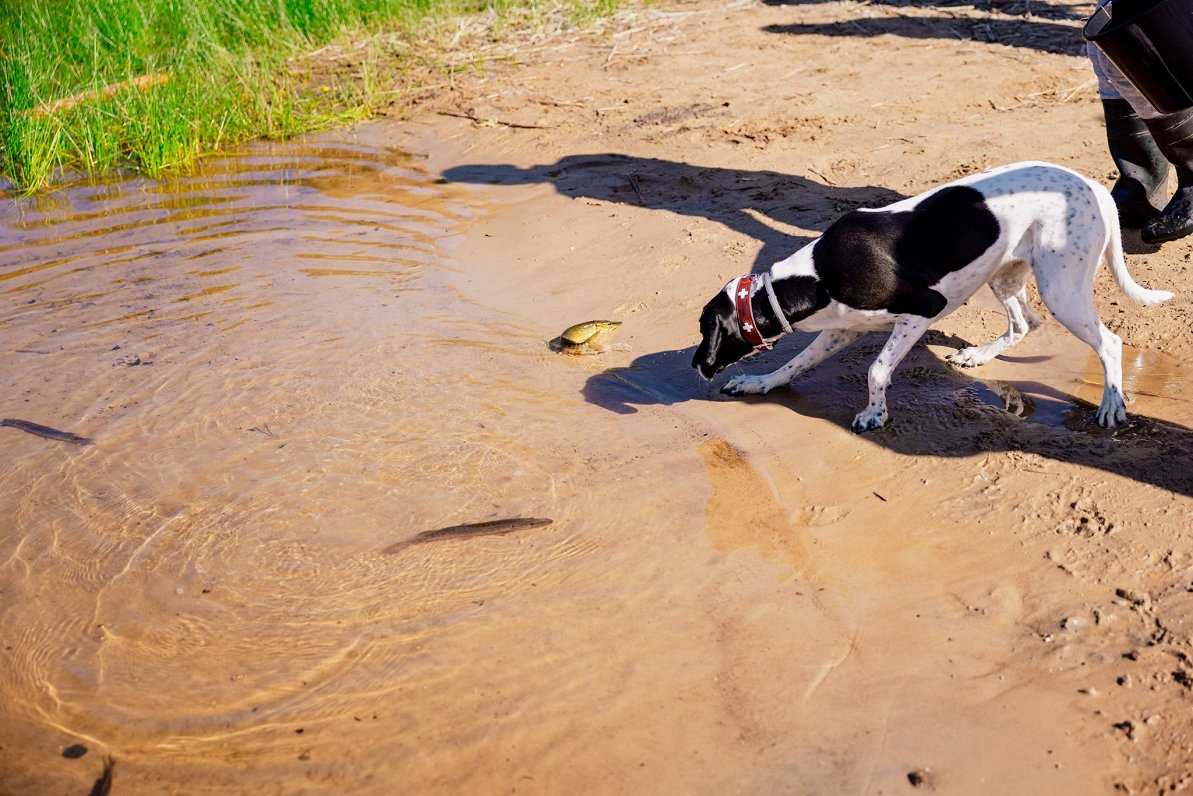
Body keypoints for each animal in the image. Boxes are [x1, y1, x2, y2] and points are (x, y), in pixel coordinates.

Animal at [696, 162, 1169, 432]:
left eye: (704, 330)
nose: (697, 364)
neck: (815, 275)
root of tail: (1091, 184)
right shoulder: (842, 330)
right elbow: (794, 364)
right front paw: (760, 382)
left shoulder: (923, 311)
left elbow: (876, 370)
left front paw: (875, 414)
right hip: (1007, 275)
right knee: (1024, 323)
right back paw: (977, 355)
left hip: (1062, 289)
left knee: (1109, 342)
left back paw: (1111, 403)